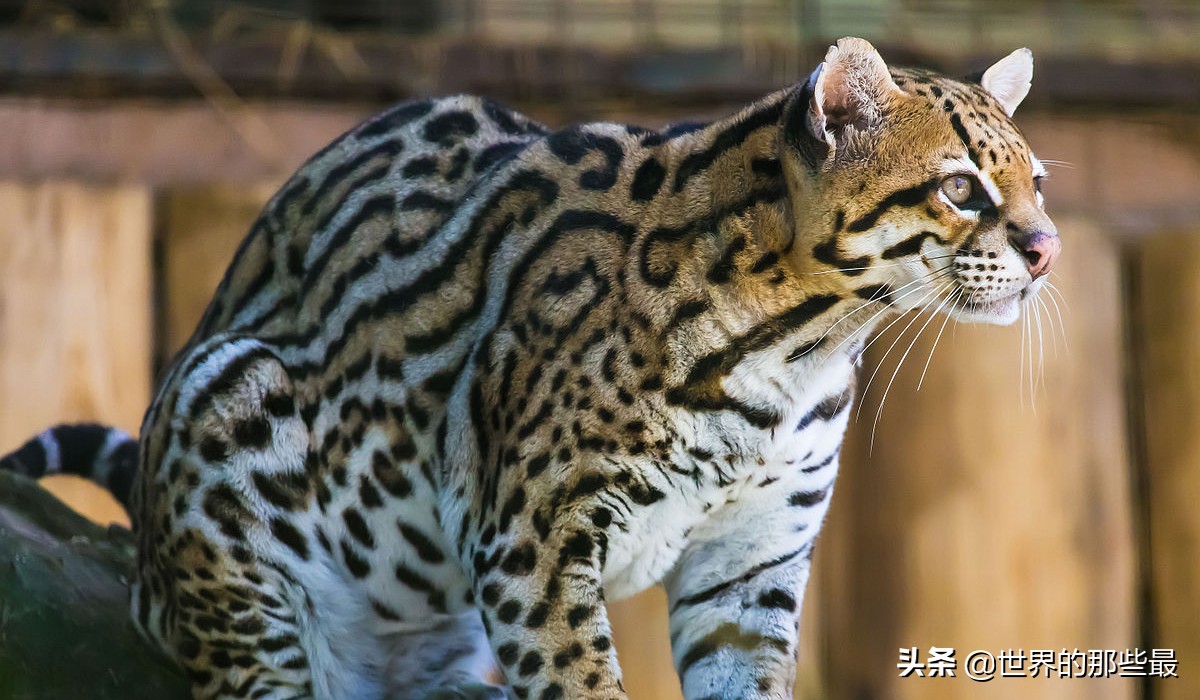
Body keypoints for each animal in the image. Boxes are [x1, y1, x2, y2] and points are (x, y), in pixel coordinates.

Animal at [1, 37, 1058, 700]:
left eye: (1037, 183)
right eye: (962, 189)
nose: (1048, 247)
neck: (799, 350)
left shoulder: (751, 564)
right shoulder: (531, 533)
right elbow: (581, 681)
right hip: (228, 400)